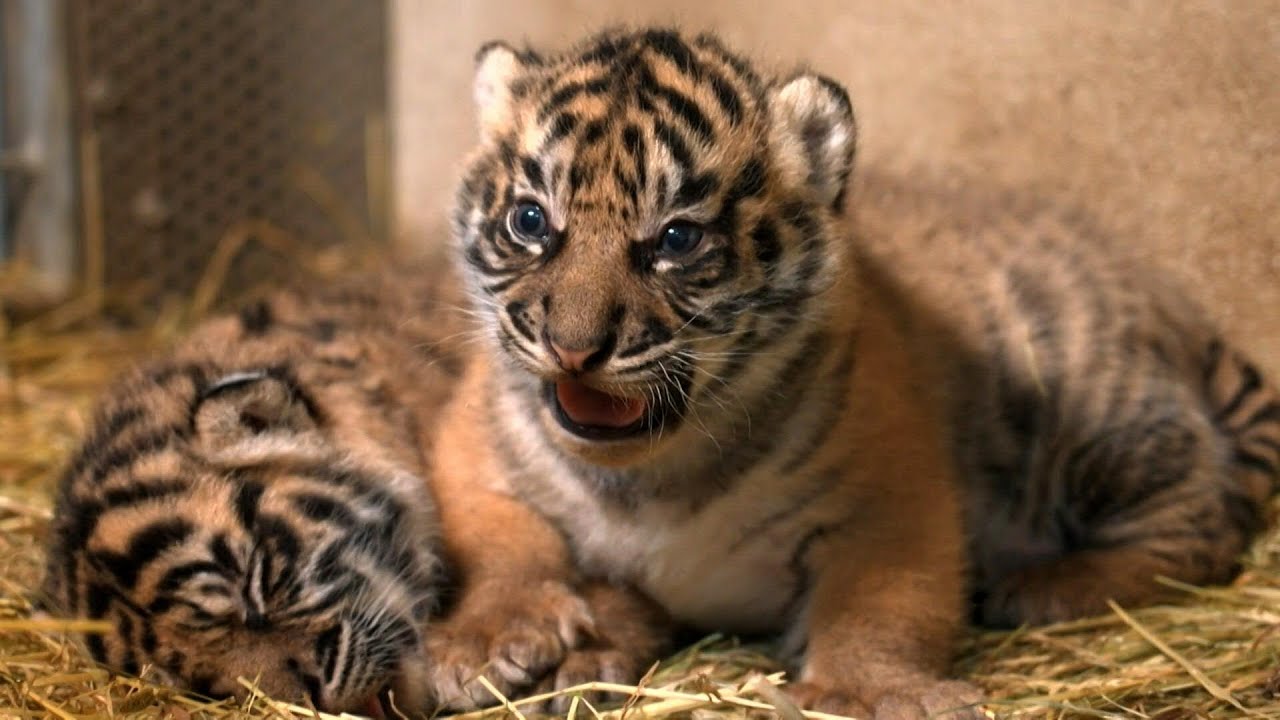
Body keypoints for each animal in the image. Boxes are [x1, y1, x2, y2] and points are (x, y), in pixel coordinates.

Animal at [441, 26, 1280, 718]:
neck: (650, 473)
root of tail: (1166, 299)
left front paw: (867, 694)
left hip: (1092, 417)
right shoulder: (473, 439)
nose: (573, 347)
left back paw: (1049, 588)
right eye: (530, 222)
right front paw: (489, 640)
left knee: (1205, 518)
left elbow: (879, 603)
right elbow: (496, 533)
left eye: (677, 239)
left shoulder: (892, 497)